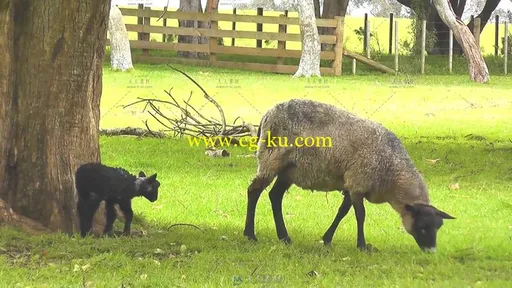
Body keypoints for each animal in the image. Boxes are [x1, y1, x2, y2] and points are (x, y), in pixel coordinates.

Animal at [244, 99, 456, 252]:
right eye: (422, 226)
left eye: (438, 227)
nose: (431, 251)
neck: (391, 170)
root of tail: (267, 114)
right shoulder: (358, 182)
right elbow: (360, 216)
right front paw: (362, 245)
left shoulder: (351, 184)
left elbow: (342, 212)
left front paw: (327, 239)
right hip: (271, 159)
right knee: (254, 191)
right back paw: (250, 234)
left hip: (289, 170)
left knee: (275, 196)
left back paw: (284, 237)